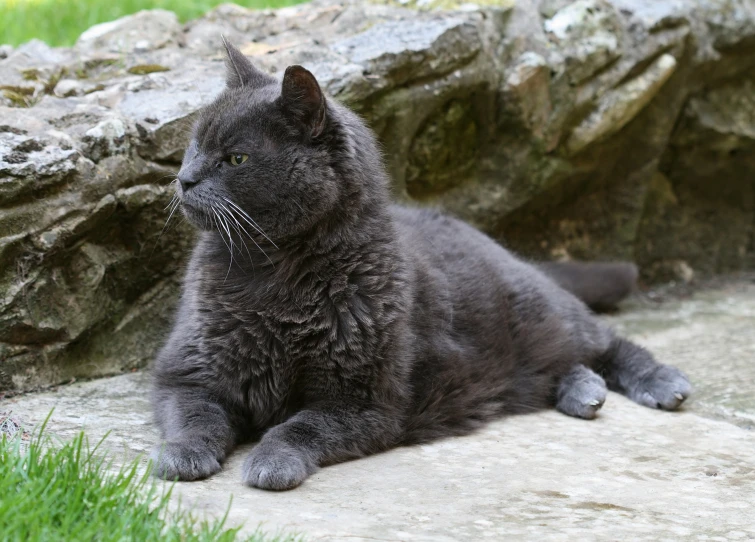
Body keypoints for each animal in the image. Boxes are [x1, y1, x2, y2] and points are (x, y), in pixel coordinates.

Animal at [151, 43, 692, 492]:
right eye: (194, 146)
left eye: (236, 158)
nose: (184, 178)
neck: (270, 272)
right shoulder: (187, 374)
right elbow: (195, 416)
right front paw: (183, 455)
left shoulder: (363, 402)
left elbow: (300, 426)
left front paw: (272, 460)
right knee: (565, 362)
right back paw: (583, 391)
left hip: (541, 310)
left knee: (606, 341)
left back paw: (659, 383)